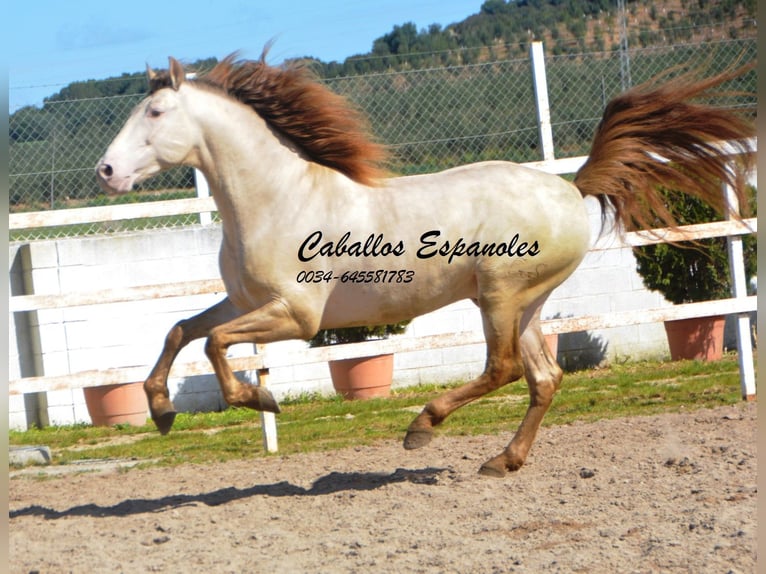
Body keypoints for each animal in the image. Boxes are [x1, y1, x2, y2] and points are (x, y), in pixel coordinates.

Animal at [97, 53, 756, 476]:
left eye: (155, 113)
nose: (105, 171)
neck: (278, 198)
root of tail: (571, 188)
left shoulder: (296, 315)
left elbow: (214, 345)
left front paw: (258, 400)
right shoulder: (244, 302)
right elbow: (181, 330)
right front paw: (160, 411)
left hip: (500, 295)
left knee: (502, 369)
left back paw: (422, 427)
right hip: (527, 303)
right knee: (544, 378)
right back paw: (503, 461)